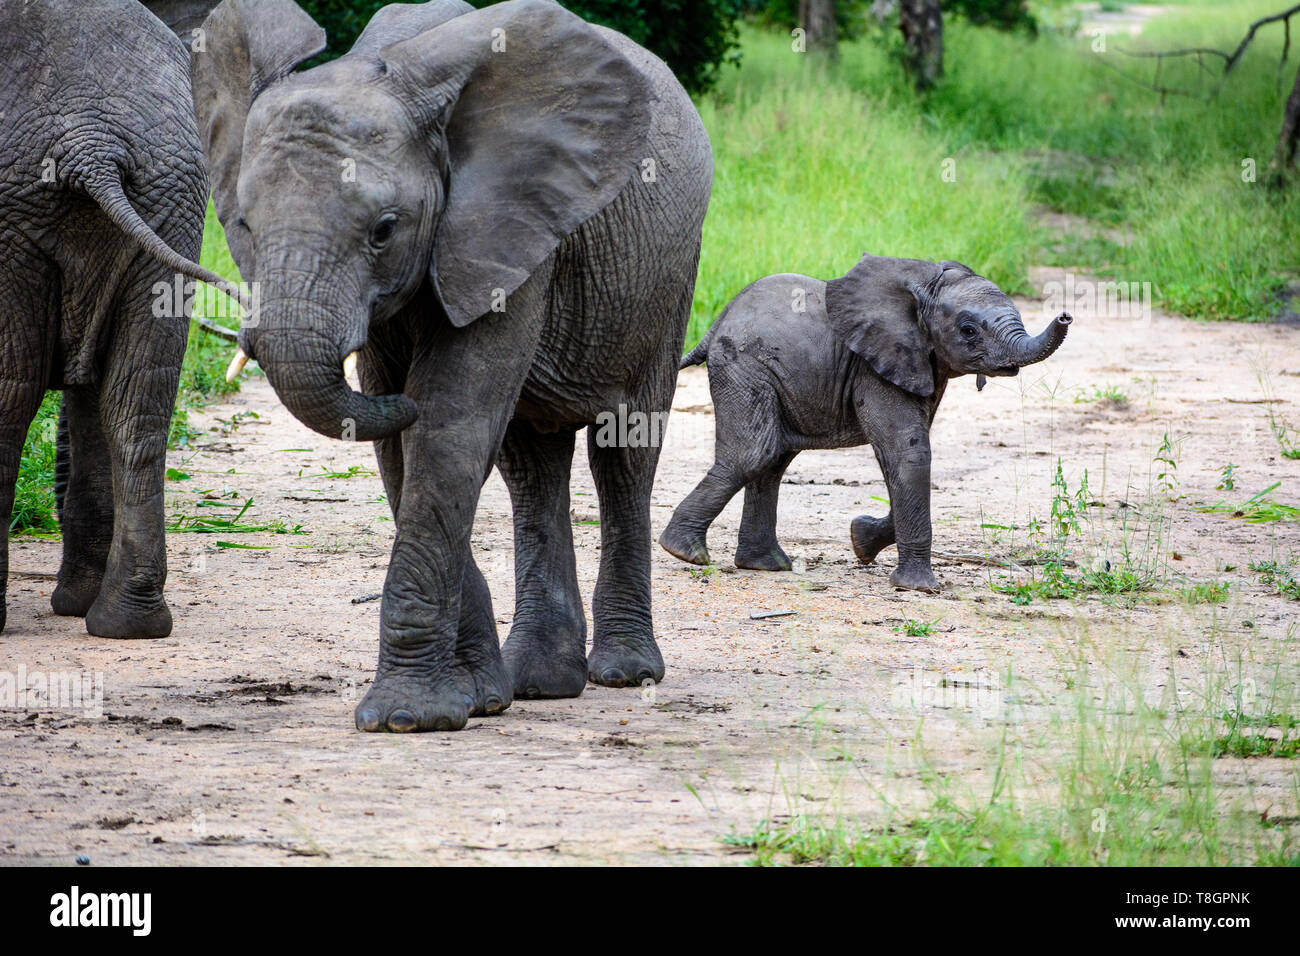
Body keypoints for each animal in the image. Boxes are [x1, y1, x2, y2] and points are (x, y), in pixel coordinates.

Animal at [195, 0, 712, 733]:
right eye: (242, 225)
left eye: (385, 229)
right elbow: (408, 449)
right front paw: (477, 698)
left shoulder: (505, 229)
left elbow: (450, 426)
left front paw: (407, 719)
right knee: (530, 463)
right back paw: (540, 684)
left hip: (668, 275)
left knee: (624, 451)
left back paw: (624, 673)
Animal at [660, 254, 1066, 590]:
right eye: (968, 330)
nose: (1065, 316)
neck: (924, 286)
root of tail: (716, 325)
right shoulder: (875, 367)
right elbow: (908, 453)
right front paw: (919, 589)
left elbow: (896, 457)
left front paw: (861, 539)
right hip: (745, 367)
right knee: (756, 453)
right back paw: (685, 552)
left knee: (773, 460)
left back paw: (765, 565)